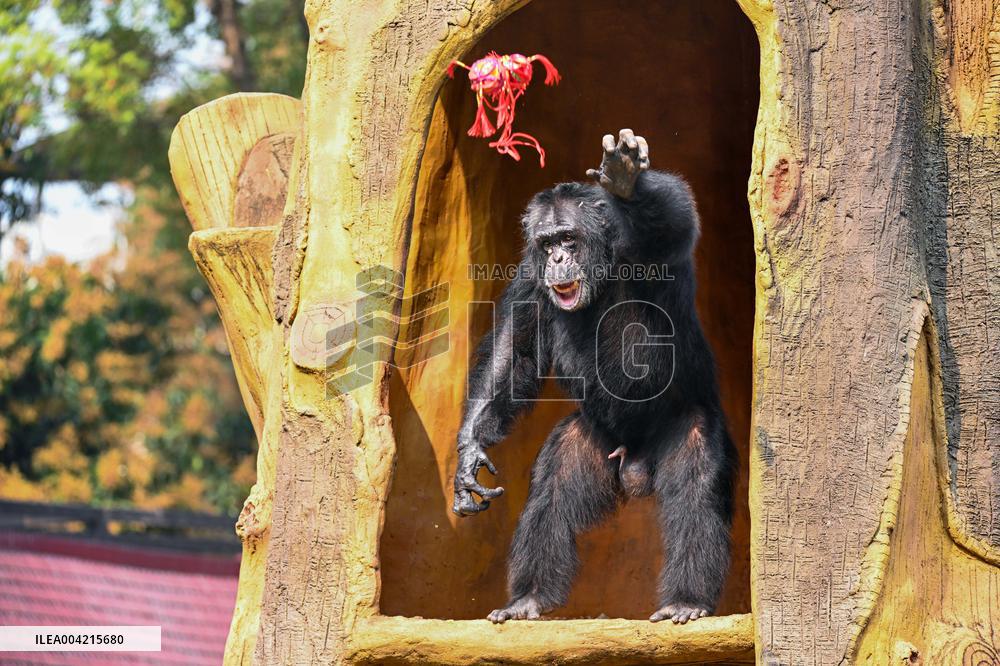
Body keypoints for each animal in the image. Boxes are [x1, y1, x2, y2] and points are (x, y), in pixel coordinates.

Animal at [453, 129, 736, 625]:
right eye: (547, 243)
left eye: (569, 237)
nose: (558, 258)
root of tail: (635, 460)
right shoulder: (528, 278)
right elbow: (514, 351)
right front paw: (469, 452)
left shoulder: (656, 249)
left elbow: (672, 217)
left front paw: (625, 178)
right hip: (590, 444)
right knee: (553, 491)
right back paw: (529, 597)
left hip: (690, 426)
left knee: (696, 488)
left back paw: (687, 599)